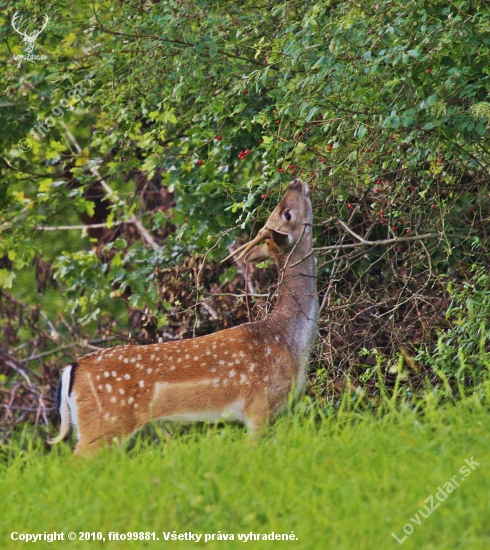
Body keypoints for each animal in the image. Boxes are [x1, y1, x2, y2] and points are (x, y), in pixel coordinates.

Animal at [48, 179, 318, 454]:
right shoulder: (260, 406)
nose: (296, 182)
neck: (287, 339)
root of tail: (72, 368)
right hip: (105, 423)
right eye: (287, 213)